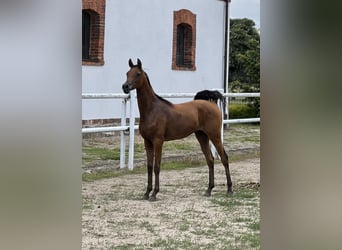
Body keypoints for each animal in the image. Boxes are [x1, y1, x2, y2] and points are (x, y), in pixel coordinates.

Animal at [123, 58, 232, 201]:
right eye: (127, 73)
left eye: (138, 74)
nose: (125, 87)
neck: (152, 109)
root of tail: (212, 104)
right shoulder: (148, 142)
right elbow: (149, 166)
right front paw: (146, 193)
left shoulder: (158, 141)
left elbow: (157, 166)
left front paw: (154, 193)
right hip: (202, 136)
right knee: (210, 160)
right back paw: (209, 190)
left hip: (215, 135)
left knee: (224, 158)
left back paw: (229, 189)